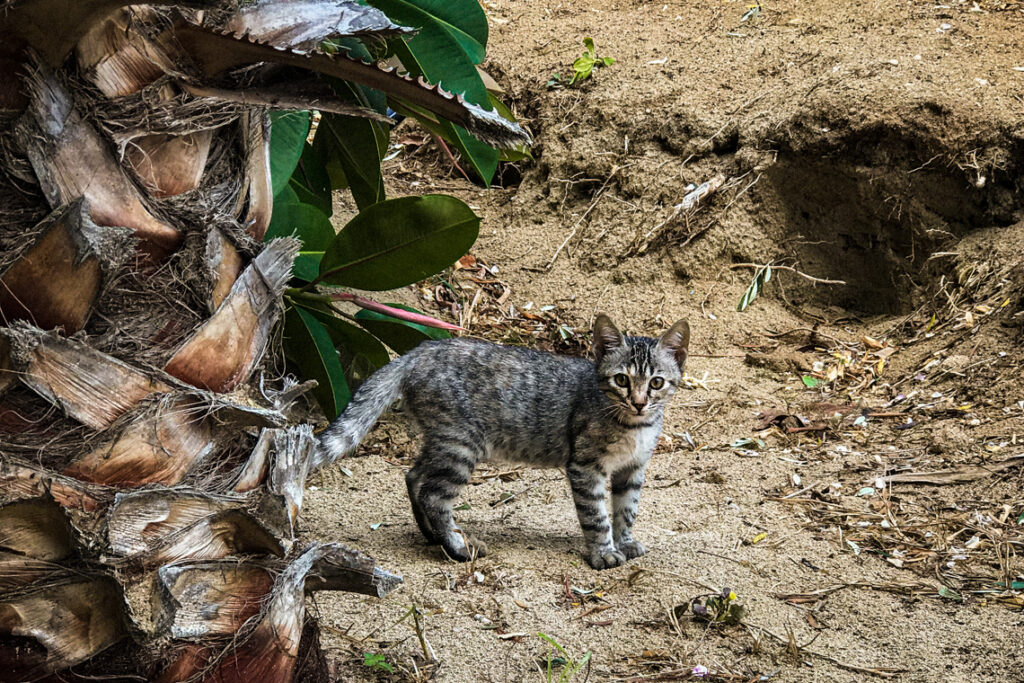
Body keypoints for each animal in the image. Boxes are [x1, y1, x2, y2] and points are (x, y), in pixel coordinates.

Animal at [315, 315, 692, 573]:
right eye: (621, 380)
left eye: (656, 382)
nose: (640, 403)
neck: (635, 426)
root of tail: (420, 350)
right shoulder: (586, 467)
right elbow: (597, 515)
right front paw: (603, 551)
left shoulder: (633, 468)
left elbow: (627, 510)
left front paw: (624, 542)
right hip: (460, 445)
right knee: (433, 494)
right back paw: (458, 546)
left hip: (443, 441)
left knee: (414, 477)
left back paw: (433, 535)